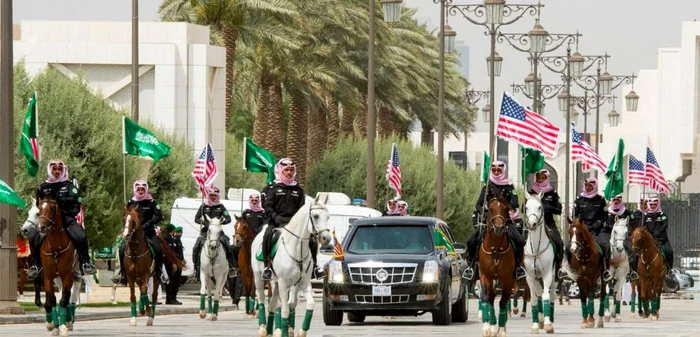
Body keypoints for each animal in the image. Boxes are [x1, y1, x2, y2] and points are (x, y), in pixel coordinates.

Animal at [36, 198, 78, 334]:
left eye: (52, 208)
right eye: (39, 208)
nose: (42, 227)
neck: (55, 247)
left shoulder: (68, 275)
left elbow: (63, 300)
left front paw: (63, 326)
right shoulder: (48, 277)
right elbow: (52, 300)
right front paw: (53, 326)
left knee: (68, 297)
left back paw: (68, 322)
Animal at [253, 194, 332, 336]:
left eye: (328, 217)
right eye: (316, 216)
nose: (326, 239)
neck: (297, 249)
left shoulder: (303, 283)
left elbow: (309, 305)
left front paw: (302, 331)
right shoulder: (284, 283)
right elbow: (284, 309)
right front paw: (285, 332)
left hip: (277, 283)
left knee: (273, 304)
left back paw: (270, 330)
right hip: (260, 278)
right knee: (262, 299)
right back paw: (262, 329)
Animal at [478, 197, 516, 336]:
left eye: (506, 209)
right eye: (491, 209)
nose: (499, 228)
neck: (495, 250)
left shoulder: (508, 279)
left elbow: (503, 302)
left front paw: (501, 329)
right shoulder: (485, 276)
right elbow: (486, 298)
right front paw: (488, 327)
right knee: (491, 297)